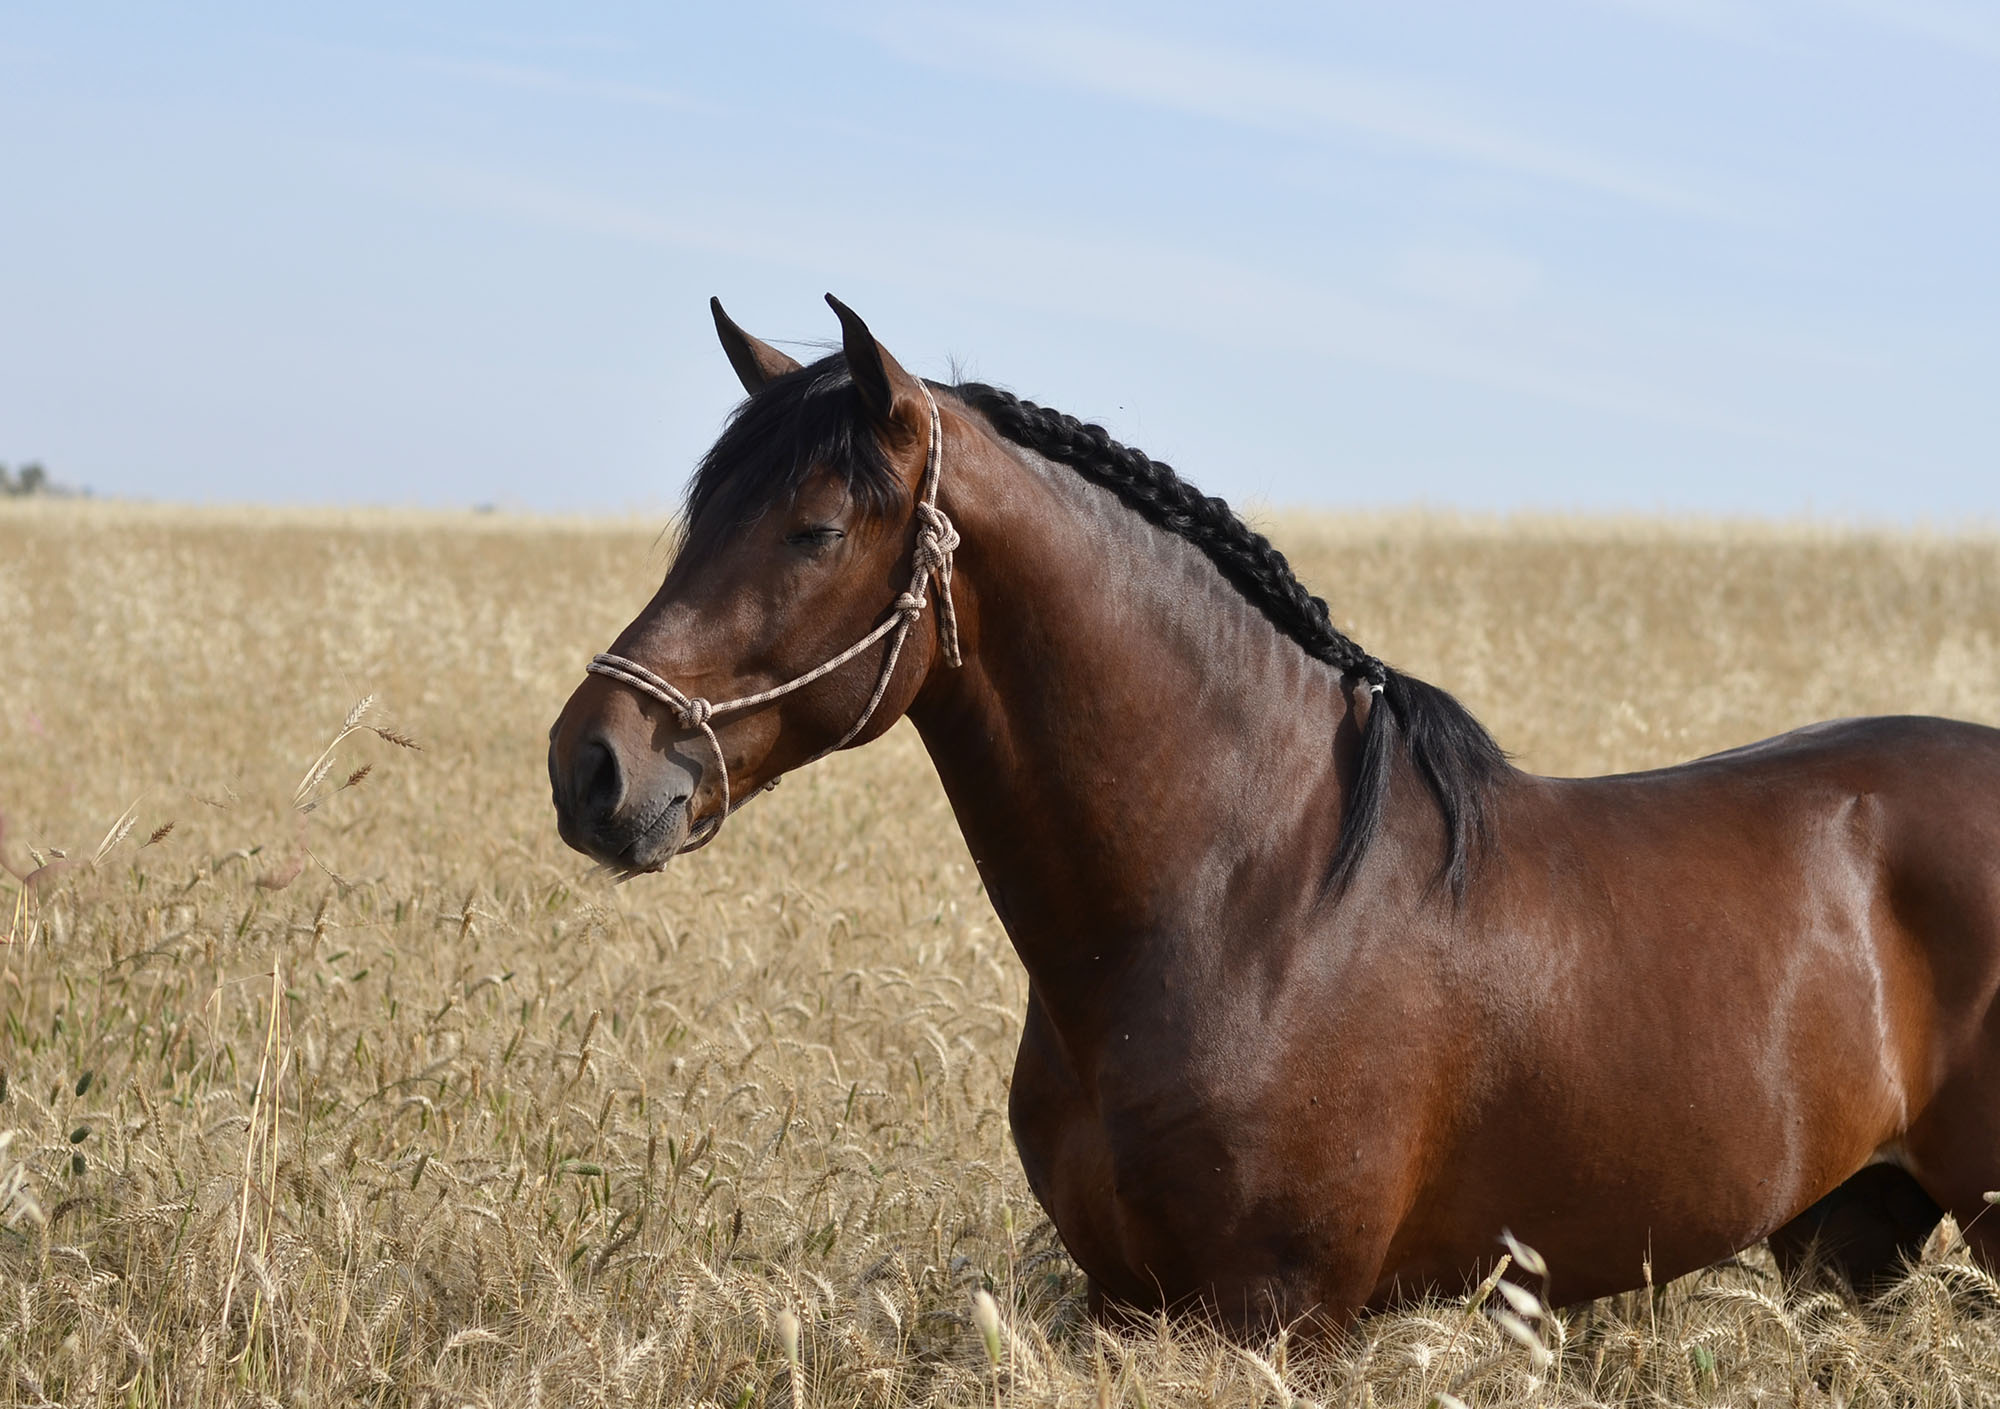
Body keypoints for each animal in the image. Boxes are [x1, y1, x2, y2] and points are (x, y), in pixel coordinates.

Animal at [548, 296, 2000, 1328]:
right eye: (699, 517)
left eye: (814, 528)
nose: (592, 767)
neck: (1247, 897)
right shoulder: (1126, 1304)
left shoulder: (1275, 1315)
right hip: (1851, 1230)